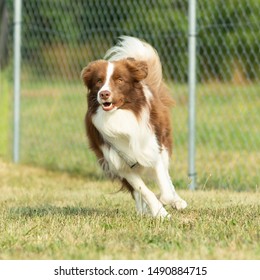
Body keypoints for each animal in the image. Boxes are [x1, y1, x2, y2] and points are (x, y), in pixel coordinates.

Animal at [81, 35, 187, 219]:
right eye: (98, 81)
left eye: (120, 80)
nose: (104, 94)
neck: (119, 116)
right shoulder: (118, 162)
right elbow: (142, 189)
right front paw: (159, 212)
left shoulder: (151, 148)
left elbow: (164, 188)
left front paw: (168, 202)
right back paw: (142, 211)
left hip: (164, 142)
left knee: (167, 177)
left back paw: (177, 201)